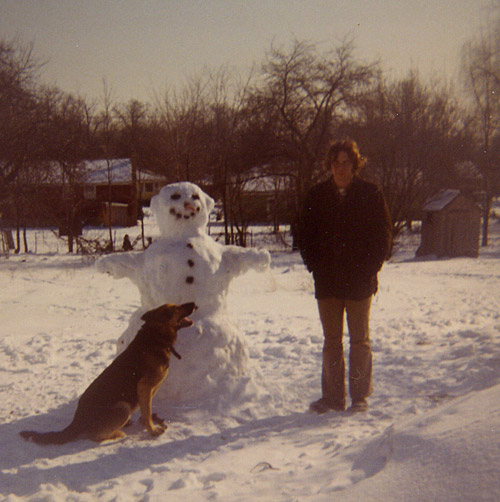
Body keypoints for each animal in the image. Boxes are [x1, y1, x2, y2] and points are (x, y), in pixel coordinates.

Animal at [19, 302, 196, 444]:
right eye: (176, 308)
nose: (193, 304)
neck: (157, 337)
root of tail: (76, 421)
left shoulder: (149, 391)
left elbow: (146, 410)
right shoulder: (145, 386)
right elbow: (147, 412)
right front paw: (152, 430)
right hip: (123, 408)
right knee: (94, 436)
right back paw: (117, 433)